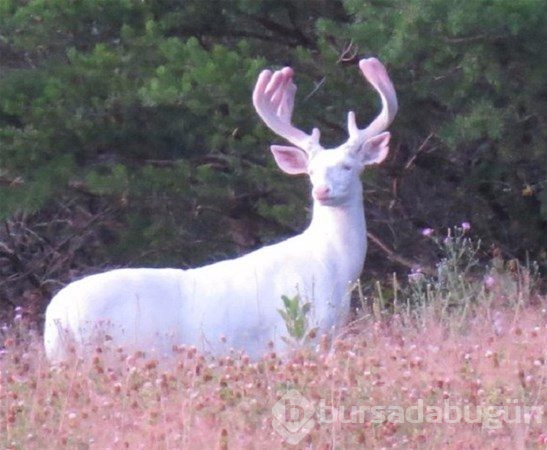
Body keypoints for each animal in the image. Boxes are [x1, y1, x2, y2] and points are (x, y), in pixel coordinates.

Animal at [44, 57, 398, 362]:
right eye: (310, 171)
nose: (321, 190)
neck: (335, 267)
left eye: (348, 166)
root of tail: (55, 317)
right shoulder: (293, 337)